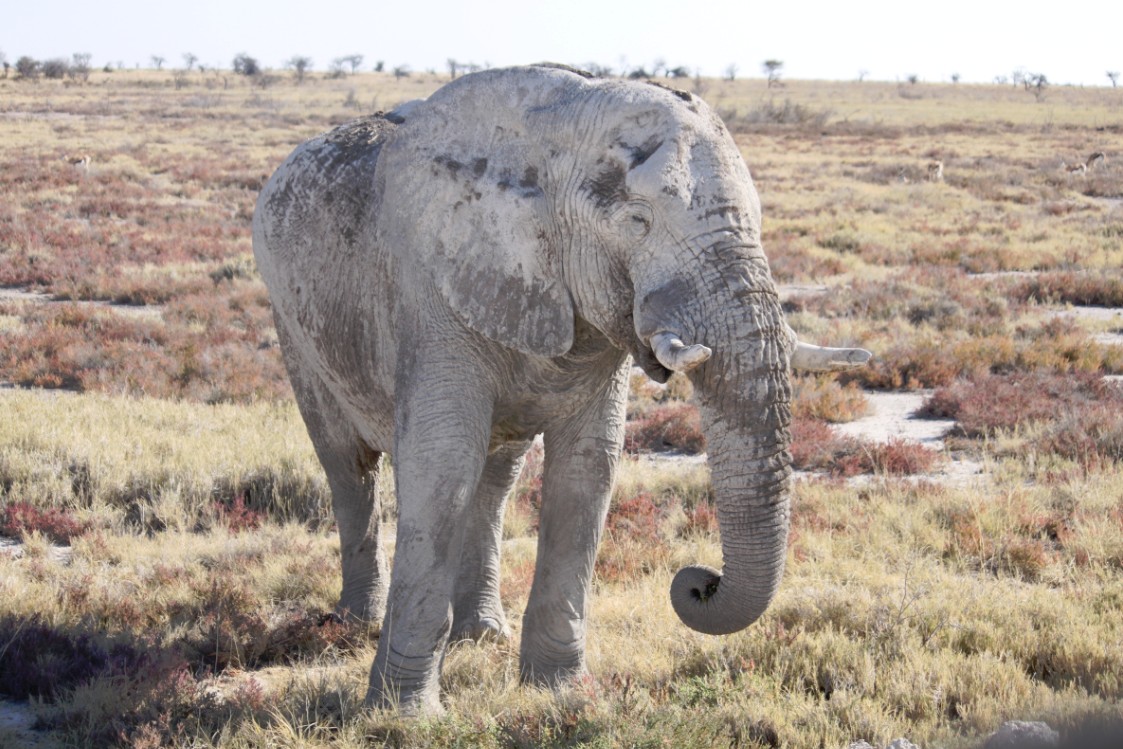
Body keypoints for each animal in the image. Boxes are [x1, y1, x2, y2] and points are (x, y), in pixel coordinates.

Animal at [254, 61, 866, 714]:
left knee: (495, 480)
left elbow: (587, 470)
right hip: (292, 325)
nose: (698, 582)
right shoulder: (434, 293)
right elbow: (441, 465)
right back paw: (355, 624)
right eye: (637, 221)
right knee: (349, 467)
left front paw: (560, 693)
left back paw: (480, 635)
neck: (561, 127)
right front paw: (402, 717)